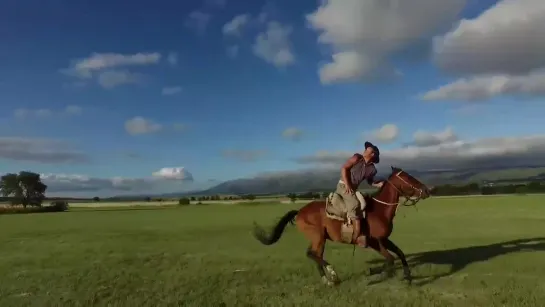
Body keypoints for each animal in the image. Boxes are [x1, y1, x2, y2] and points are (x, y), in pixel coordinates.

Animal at [253, 168, 432, 286]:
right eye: (408, 178)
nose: (426, 190)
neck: (379, 210)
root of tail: (300, 211)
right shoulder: (375, 241)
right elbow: (390, 259)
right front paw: (376, 273)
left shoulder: (383, 239)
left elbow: (399, 253)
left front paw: (407, 276)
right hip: (318, 237)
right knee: (312, 254)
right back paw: (332, 274)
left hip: (319, 239)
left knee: (314, 255)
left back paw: (328, 279)